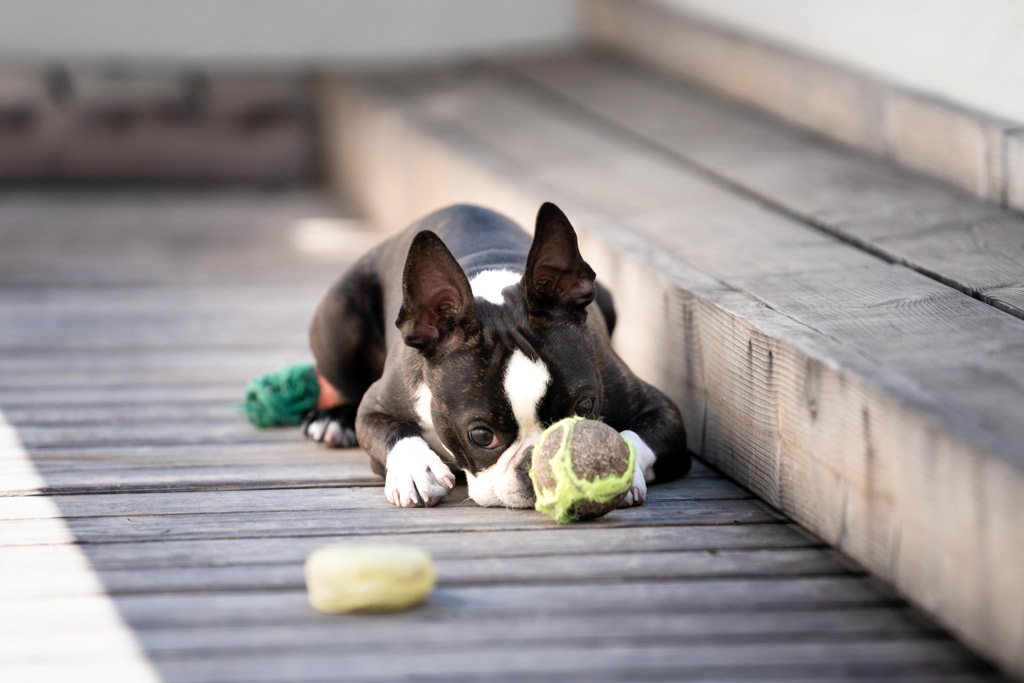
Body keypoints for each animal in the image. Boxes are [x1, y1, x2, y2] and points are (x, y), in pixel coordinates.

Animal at [299, 201, 692, 507]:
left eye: (584, 408)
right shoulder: (377, 405)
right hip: (338, 324)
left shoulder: (660, 409)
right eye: (481, 436)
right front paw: (415, 469)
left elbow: (636, 435)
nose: (540, 463)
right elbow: (389, 429)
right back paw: (333, 418)